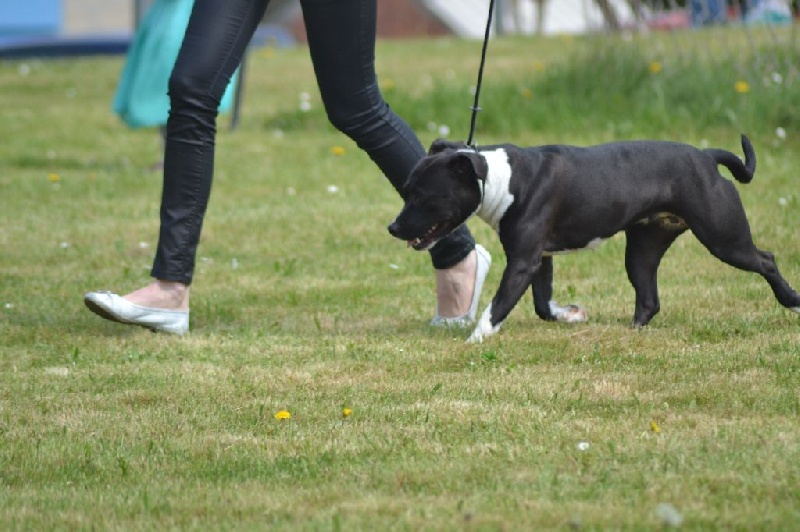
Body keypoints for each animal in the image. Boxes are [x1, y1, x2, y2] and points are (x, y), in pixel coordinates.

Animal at [388, 135, 800, 342]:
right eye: (405, 190)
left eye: (422, 196)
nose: (393, 228)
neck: (500, 178)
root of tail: (705, 156)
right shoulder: (540, 258)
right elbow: (542, 304)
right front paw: (569, 315)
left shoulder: (522, 262)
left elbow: (499, 303)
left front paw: (476, 339)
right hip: (643, 249)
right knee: (648, 298)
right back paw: (631, 334)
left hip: (724, 239)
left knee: (766, 259)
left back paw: (793, 302)